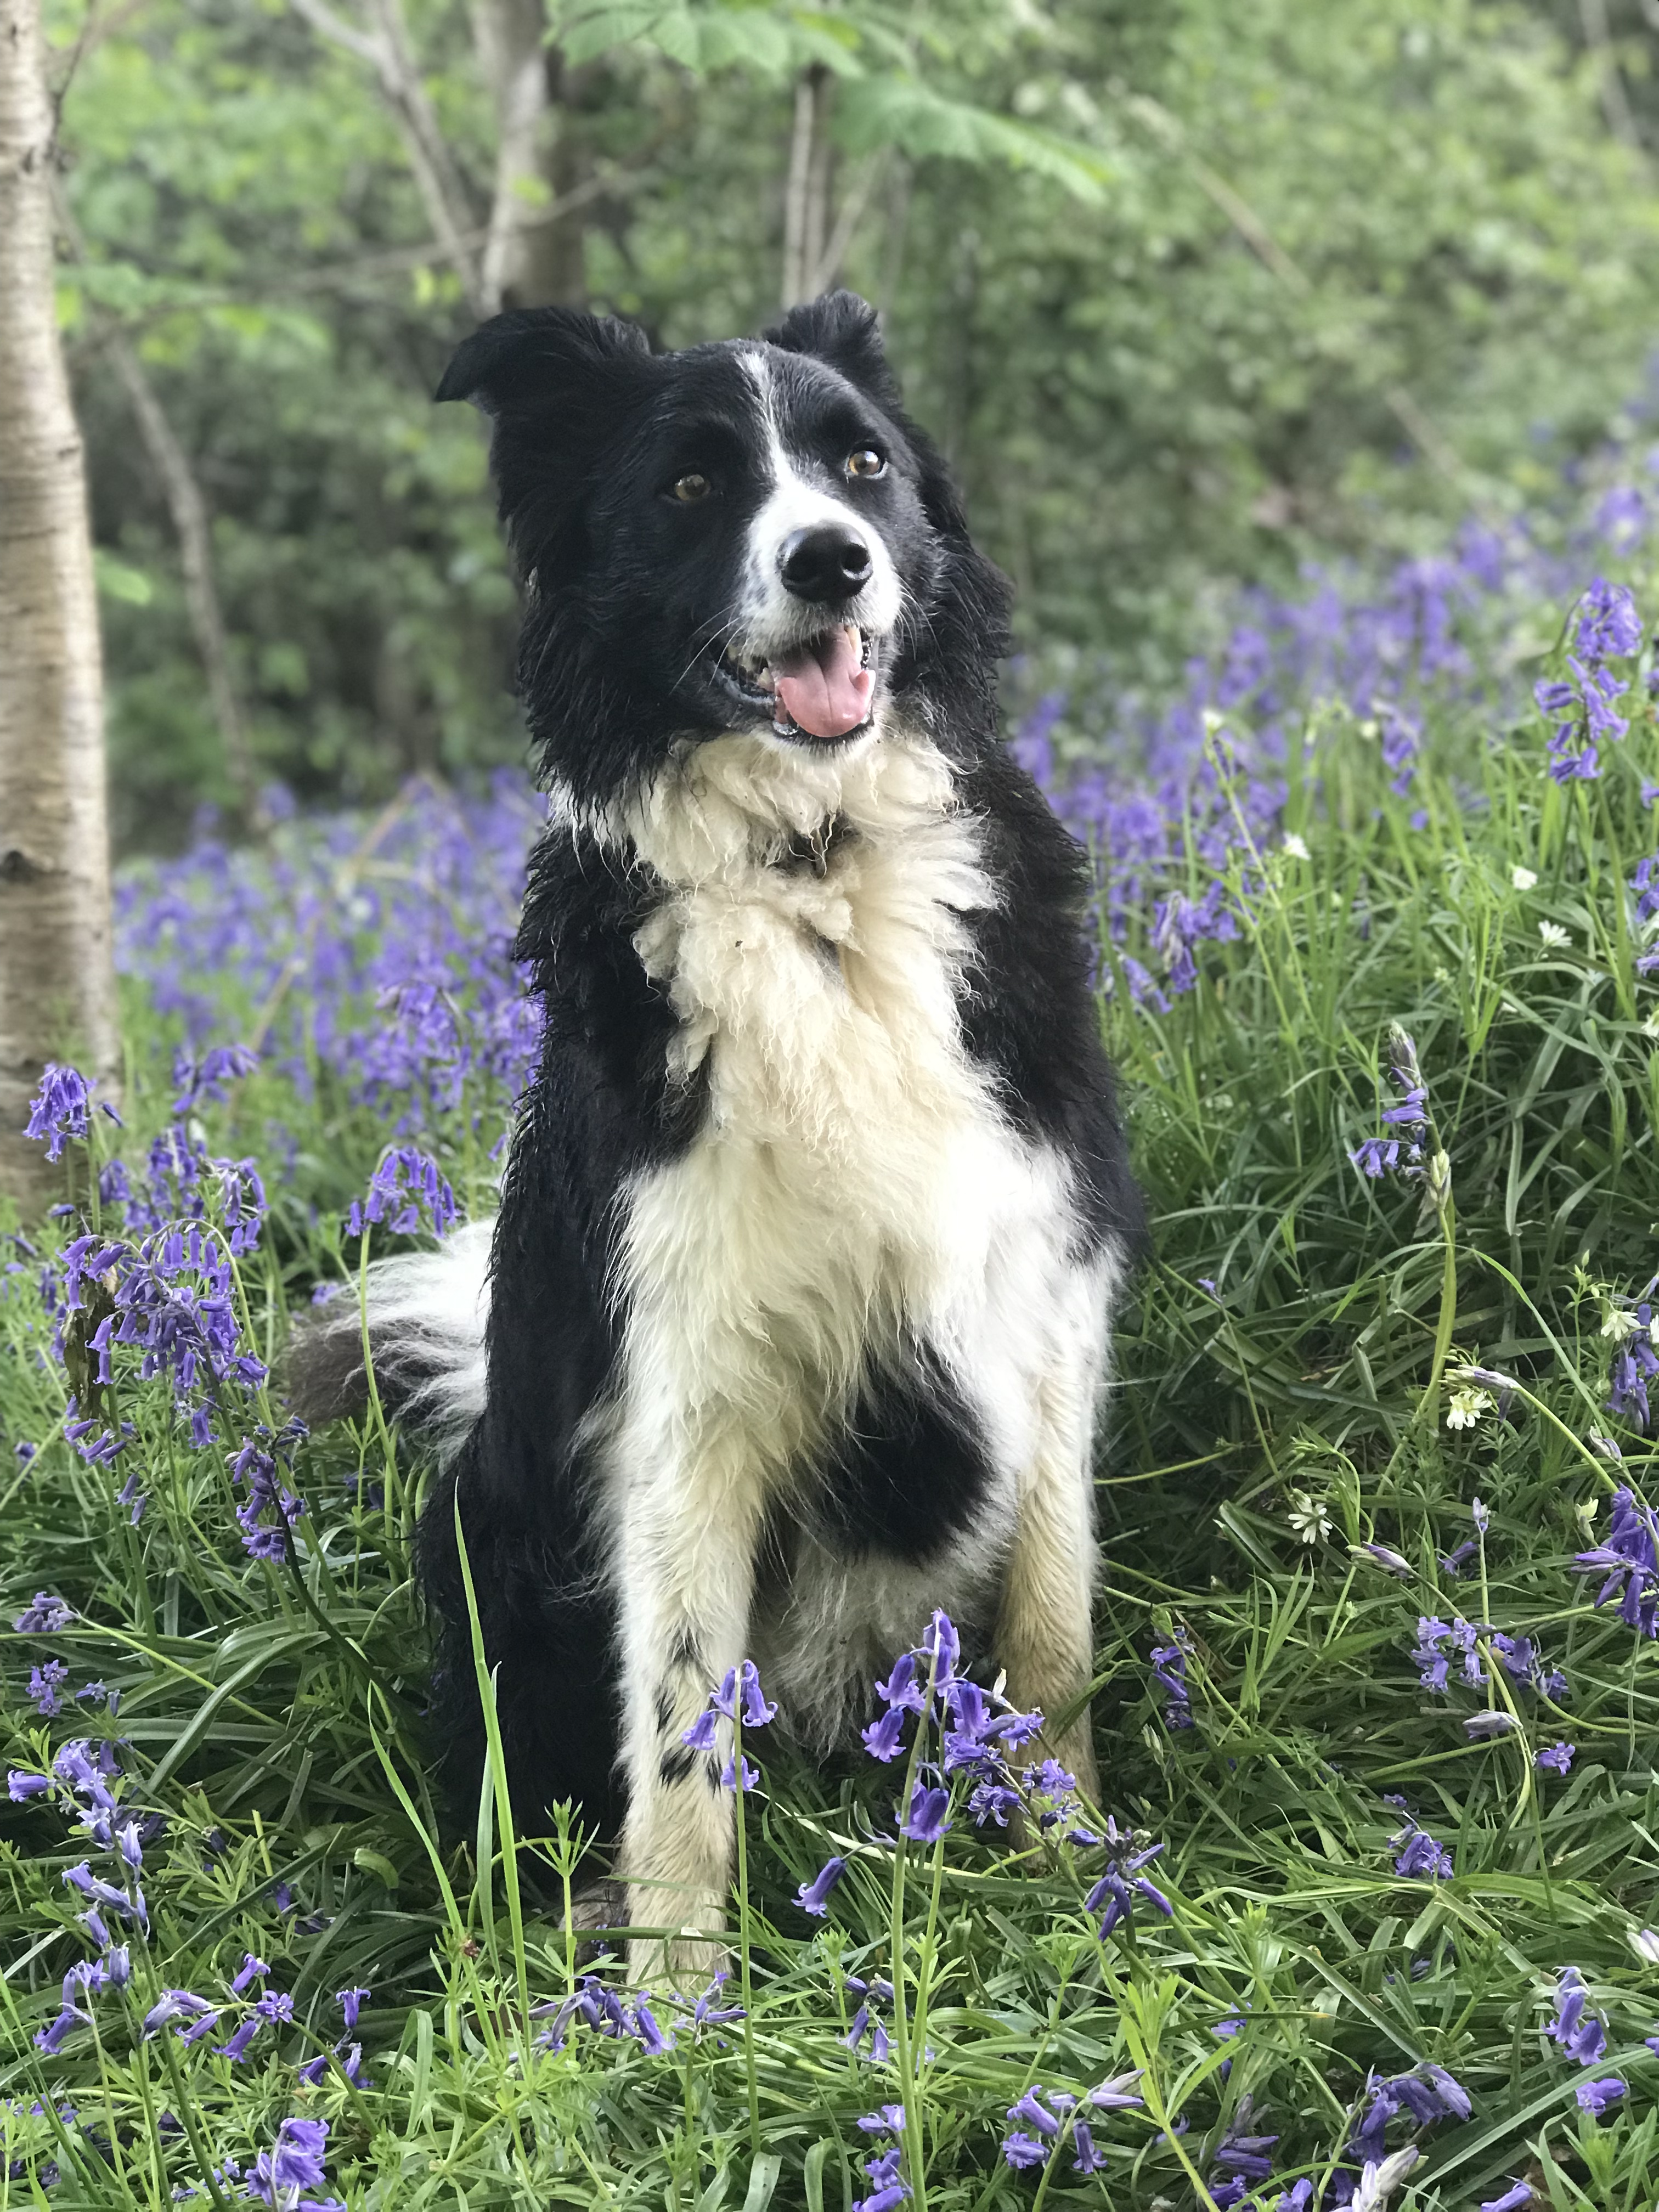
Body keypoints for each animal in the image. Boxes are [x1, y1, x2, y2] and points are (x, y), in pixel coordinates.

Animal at [303, 290, 1141, 1973]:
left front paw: (1071, 1875)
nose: (833, 559)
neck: (817, 869)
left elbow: (1051, 1634)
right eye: (691, 485)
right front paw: (677, 1996)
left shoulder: (1045, 1303)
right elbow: (683, 1734)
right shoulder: (689, 1393)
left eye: (863, 463)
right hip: (488, 1532)